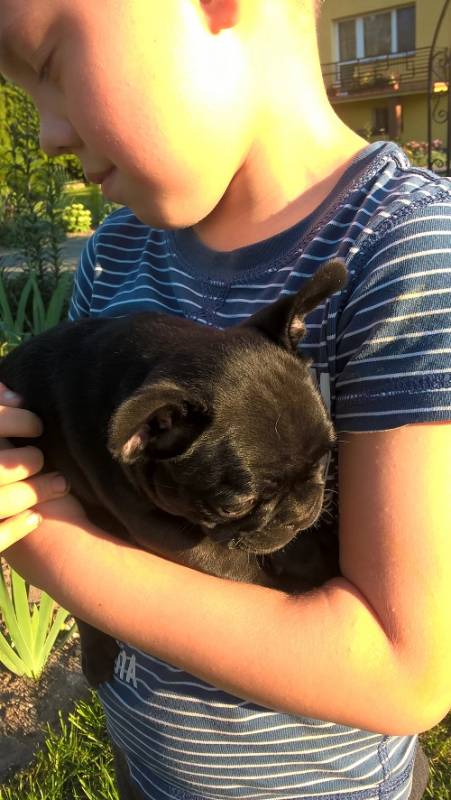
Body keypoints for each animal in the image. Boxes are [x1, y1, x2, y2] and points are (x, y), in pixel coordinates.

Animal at [0, 259, 346, 686]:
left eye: (325, 458)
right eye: (234, 506)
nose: (300, 513)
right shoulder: (162, 529)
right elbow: (239, 567)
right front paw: (308, 570)